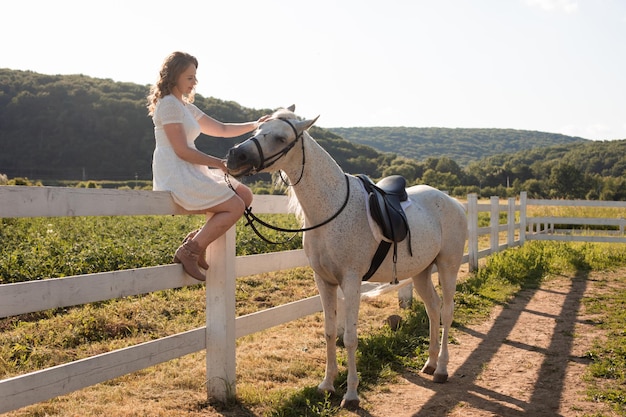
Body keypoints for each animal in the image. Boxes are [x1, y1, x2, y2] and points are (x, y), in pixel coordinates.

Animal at [227, 105, 466, 406]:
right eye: (258, 129)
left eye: (281, 138)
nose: (235, 156)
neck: (330, 209)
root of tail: (453, 202)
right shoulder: (324, 282)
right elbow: (330, 332)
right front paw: (327, 385)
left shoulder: (351, 282)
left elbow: (350, 337)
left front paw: (351, 395)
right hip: (421, 272)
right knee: (433, 309)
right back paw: (430, 363)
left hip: (448, 267)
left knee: (446, 311)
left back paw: (442, 369)